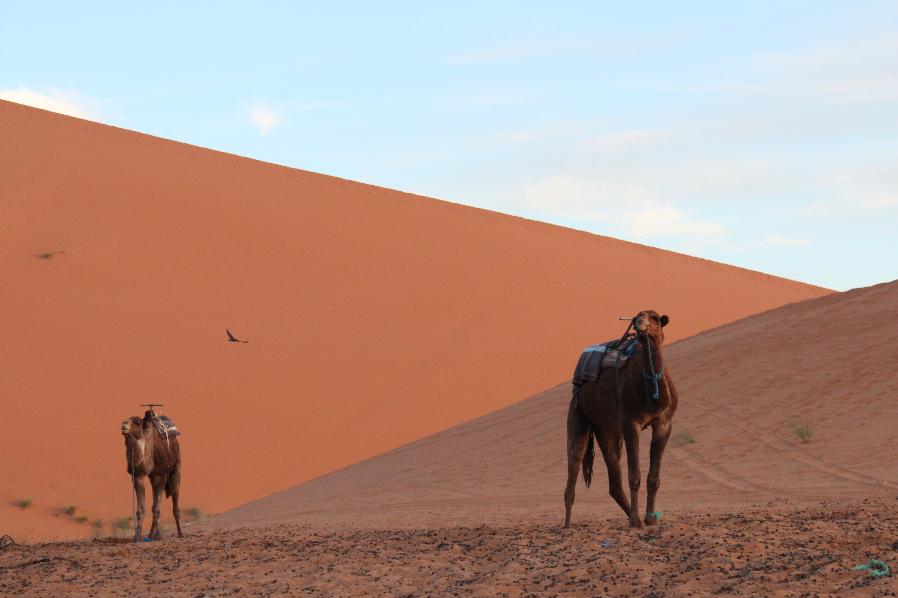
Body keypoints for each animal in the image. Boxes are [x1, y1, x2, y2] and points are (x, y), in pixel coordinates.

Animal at [121, 412, 184, 544]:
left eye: (137, 422)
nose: (123, 424)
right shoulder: (138, 475)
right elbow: (141, 509)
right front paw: (137, 537)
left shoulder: (160, 475)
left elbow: (156, 508)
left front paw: (157, 536)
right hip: (153, 477)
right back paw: (152, 535)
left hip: (176, 466)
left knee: (174, 501)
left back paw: (179, 534)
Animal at [560, 314, 680, 528]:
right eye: (638, 315)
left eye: (655, 318)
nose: (640, 323)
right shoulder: (630, 423)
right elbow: (634, 477)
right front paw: (640, 520)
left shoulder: (664, 424)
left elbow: (653, 477)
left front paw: (649, 519)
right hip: (577, 413)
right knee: (575, 459)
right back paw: (567, 526)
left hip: (606, 430)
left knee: (614, 479)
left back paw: (632, 516)